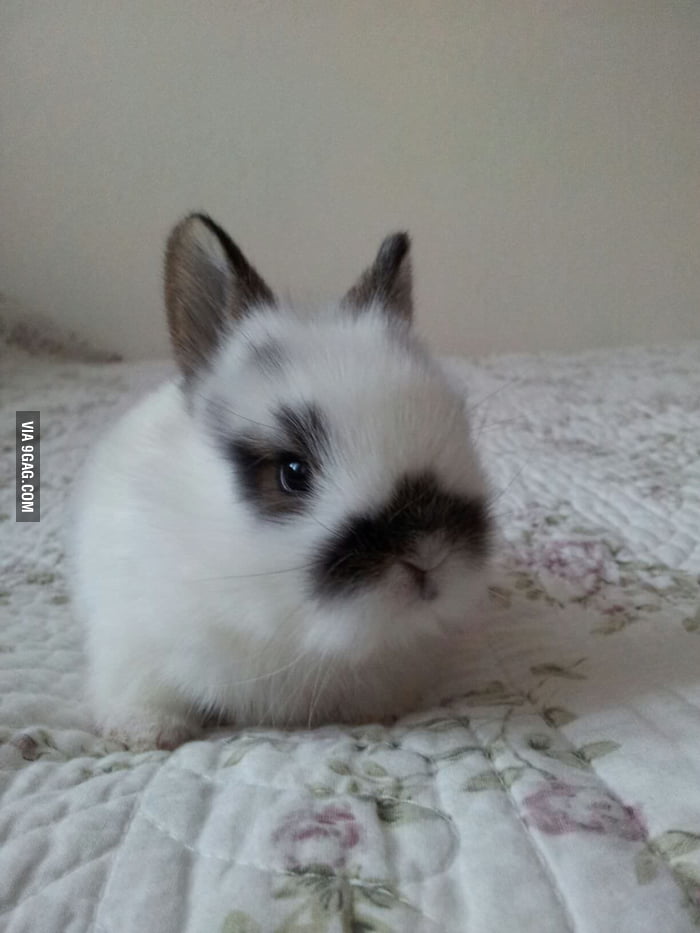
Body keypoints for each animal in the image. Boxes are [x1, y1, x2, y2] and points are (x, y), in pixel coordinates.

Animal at [71, 213, 493, 750]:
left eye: (459, 425)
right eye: (292, 473)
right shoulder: (134, 643)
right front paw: (148, 733)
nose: (427, 553)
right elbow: (146, 693)